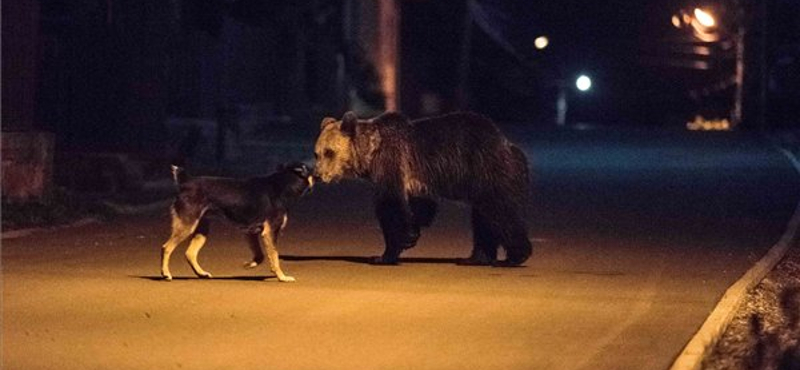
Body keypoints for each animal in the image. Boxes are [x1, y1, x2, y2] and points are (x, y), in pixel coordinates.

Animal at [159, 163, 312, 284]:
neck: (283, 183)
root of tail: (186, 181)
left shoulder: (251, 232)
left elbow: (261, 256)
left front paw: (250, 264)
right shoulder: (270, 232)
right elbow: (274, 256)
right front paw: (282, 277)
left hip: (201, 231)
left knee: (190, 253)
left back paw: (201, 274)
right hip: (187, 226)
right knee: (166, 247)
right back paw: (166, 273)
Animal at [312, 110, 532, 266]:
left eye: (329, 152)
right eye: (317, 153)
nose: (318, 174)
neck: (369, 153)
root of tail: (509, 145)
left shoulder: (391, 161)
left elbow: (389, 206)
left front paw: (384, 255)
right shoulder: (415, 179)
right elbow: (420, 206)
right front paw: (412, 234)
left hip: (487, 171)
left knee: (501, 211)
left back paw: (515, 256)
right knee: (483, 219)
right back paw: (476, 258)